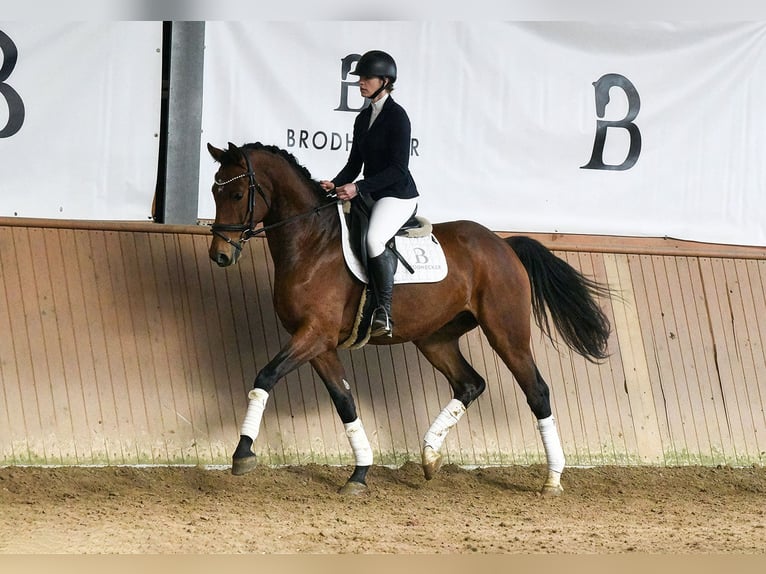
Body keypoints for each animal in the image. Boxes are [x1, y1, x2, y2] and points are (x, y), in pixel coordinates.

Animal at [206, 141, 612, 497]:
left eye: (237, 195)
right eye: (213, 191)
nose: (219, 256)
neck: (313, 244)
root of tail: (503, 244)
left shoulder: (314, 335)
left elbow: (266, 376)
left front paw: (243, 453)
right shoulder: (318, 343)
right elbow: (344, 401)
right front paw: (360, 473)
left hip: (506, 333)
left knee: (536, 391)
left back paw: (552, 479)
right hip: (435, 338)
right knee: (469, 384)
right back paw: (430, 455)